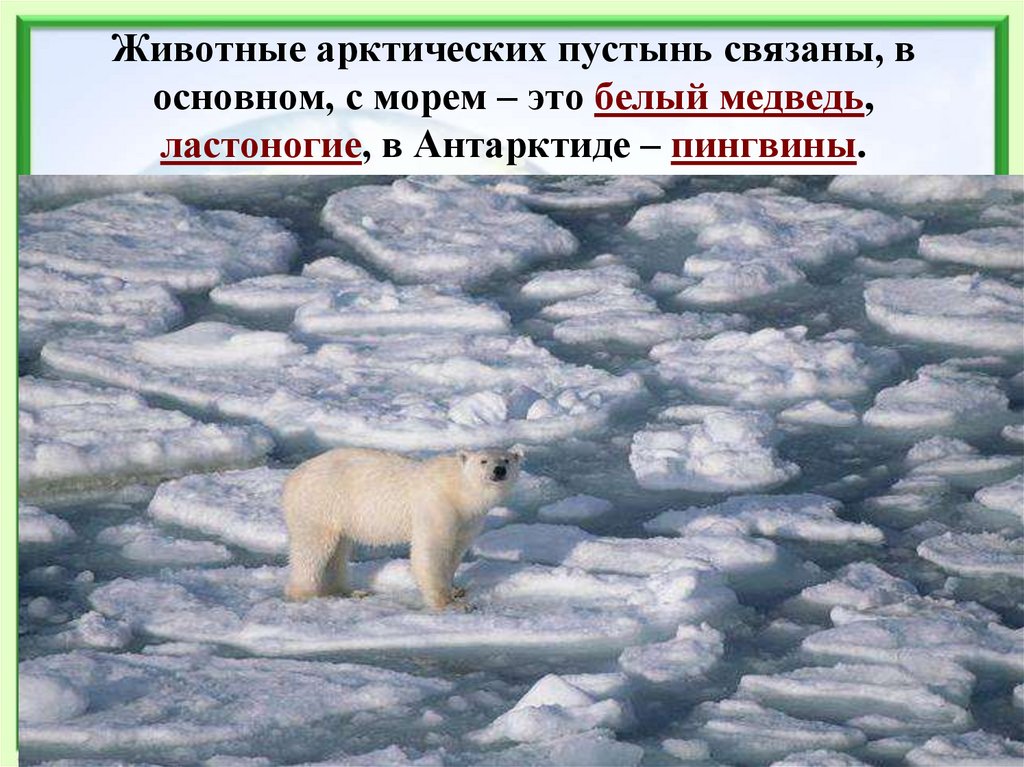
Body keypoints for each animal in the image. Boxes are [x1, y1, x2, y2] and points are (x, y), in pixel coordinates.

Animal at [282, 446, 523, 609]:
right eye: (483, 461)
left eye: (507, 460)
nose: (498, 470)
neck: (459, 490)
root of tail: (293, 477)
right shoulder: (437, 506)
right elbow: (431, 551)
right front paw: (450, 603)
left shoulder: (468, 519)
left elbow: (456, 550)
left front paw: (457, 589)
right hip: (320, 503)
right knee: (313, 548)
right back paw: (304, 593)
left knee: (338, 551)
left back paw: (350, 592)